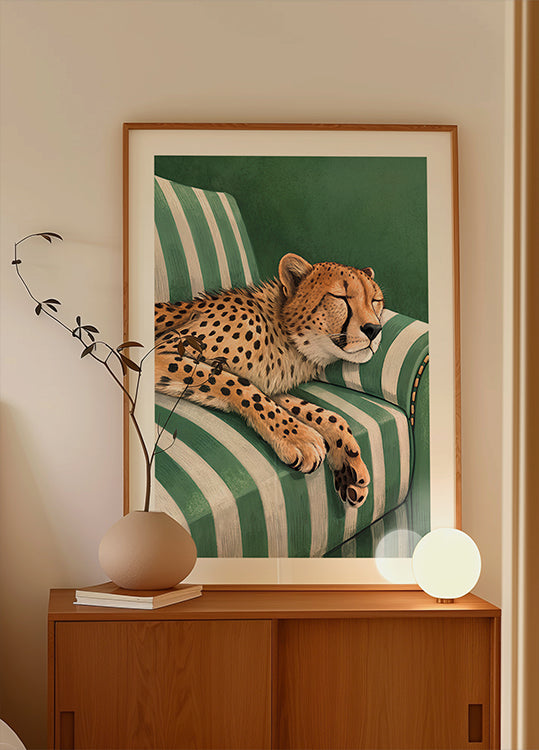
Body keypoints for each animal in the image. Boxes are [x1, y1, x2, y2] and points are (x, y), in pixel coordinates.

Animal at [154, 253, 384, 508]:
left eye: (376, 301)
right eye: (340, 297)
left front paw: (348, 462)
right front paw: (299, 439)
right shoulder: (158, 353)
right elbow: (239, 385)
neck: (283, 332)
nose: (374, 329)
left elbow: (324, 414)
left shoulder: (272, 386)